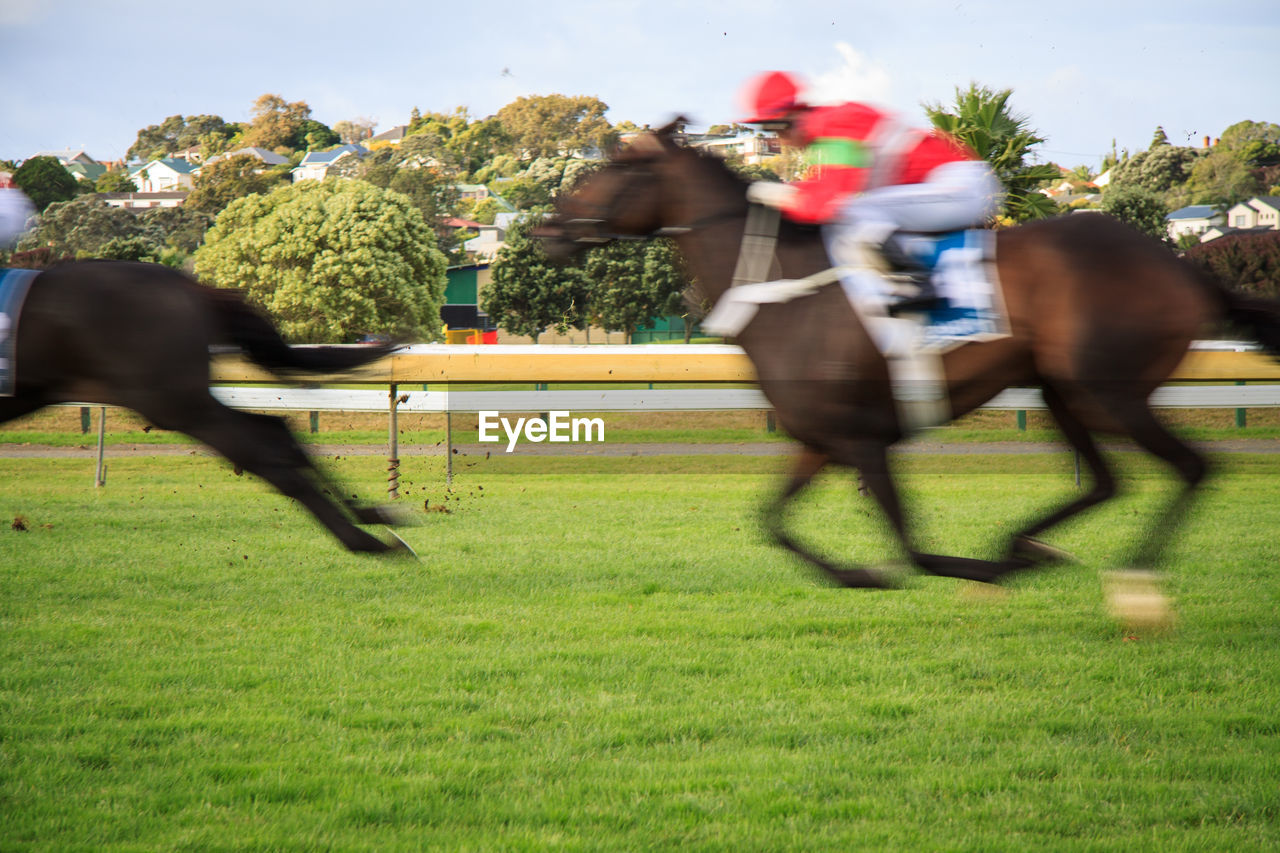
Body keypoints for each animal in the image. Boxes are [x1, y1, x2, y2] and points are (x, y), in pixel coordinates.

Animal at [0, 258, 407, 550]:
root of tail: (193, 287)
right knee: (273, 433)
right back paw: (370, 517)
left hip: (168, 398)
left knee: (262, 447)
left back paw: (367, 538)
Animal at [540, 129, 1280, 589]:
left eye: (615, 168)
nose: (547, 228)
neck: (780, 288)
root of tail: (1183, 270)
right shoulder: (820, 438)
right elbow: (774, 522)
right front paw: (859, 573)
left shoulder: (866, 441)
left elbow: (912, 548)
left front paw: (970, 569)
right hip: (1062, 389)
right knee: (1107, 482)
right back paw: (1030, 543)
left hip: (1108, 390)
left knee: (1191, 467)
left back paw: (1130, 575)